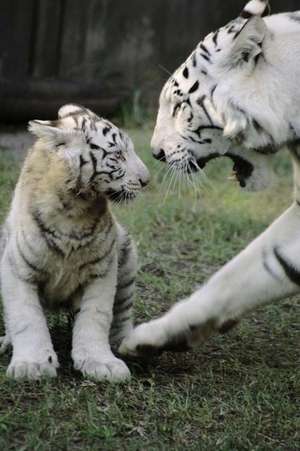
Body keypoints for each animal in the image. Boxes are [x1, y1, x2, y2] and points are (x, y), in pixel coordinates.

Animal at [0, 103, 150, 382]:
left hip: (126, 258)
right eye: (118, 155)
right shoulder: (18, 269)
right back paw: (5, 341)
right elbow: (26, 317)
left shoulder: (102, 270)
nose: (146, 181)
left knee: (122, 312)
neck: (75, 209)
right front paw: (32, 365)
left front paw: (101, 363)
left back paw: (126, 344)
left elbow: (96, 316)